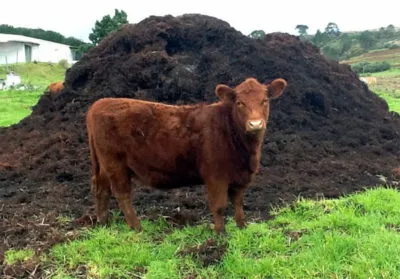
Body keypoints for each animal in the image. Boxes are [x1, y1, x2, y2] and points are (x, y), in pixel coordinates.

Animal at [86, 77, 286, 233]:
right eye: (240, 103)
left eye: (265, 101)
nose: (255, 124)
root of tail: (99, 103)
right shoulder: (216, 175)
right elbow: (219, 205)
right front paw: (220, 233)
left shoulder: (240, 177)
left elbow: (238, 202)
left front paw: (241, 227)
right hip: (115, 164)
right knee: (122, 194)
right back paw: (137, 228)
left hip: (104, 165)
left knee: (102, 189)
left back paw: (103, 223)